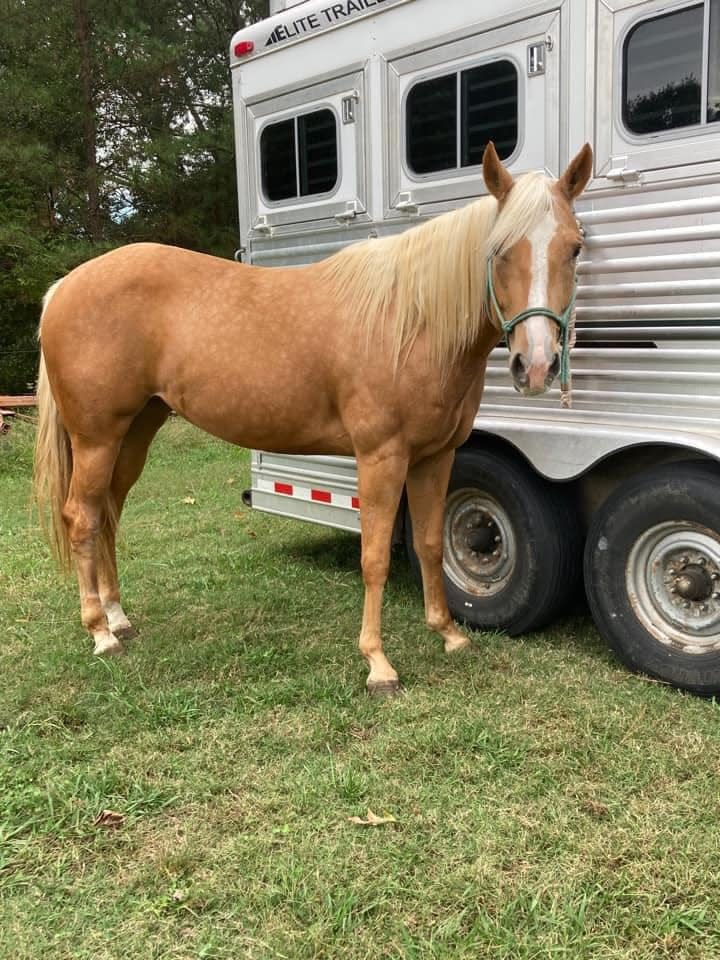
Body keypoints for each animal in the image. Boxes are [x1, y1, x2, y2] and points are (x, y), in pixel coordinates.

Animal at [33, 142, 592, 692]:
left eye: (575, 247)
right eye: (499, 250)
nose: (536, 365)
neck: (410, 321)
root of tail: (63, 287)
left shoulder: (436, 458)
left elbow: (431, 544)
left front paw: (449, 634)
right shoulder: (381, 457)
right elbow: (375, 557)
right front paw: (377, 664)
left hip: (134, 433)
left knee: (107, 512)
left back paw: (118, 616)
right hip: (96, 438)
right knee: (82, 517)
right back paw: (101, 633)